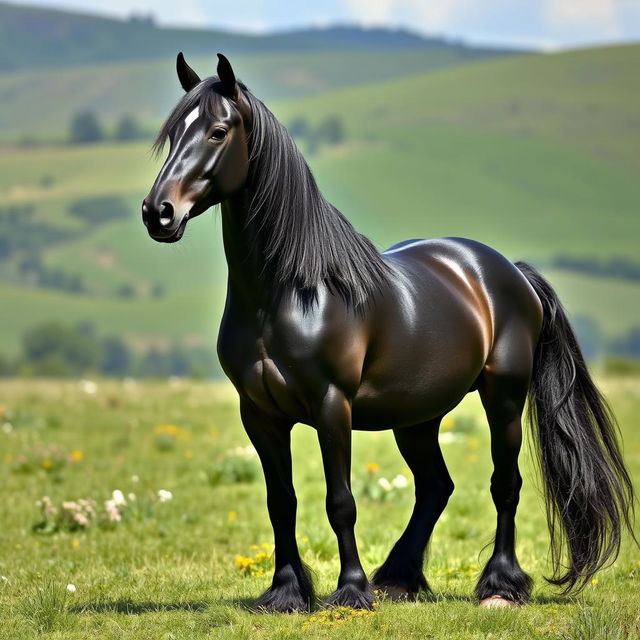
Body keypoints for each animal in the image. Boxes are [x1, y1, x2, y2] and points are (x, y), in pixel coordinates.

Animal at [144, 53, 636, 608]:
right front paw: (287, 594)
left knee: (504, 484)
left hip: (504, 397)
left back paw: (499, 586)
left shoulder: (332, 404)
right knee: (436, 486)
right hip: (417, 416)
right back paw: (400, 577)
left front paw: (351, 591)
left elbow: (341, 501)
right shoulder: (260, 414)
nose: (158, 212)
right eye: (172, 134)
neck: (288, 293)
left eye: (218, 131)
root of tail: (509, 270)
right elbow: (281, 502)